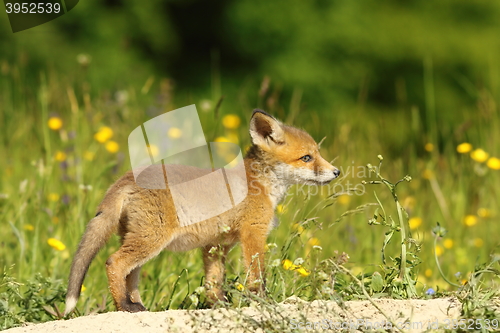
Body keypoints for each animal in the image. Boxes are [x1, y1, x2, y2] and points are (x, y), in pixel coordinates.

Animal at [64, 108, 340, 314]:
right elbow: (256, 277)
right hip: (151, 240)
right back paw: (124, 306)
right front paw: (263, 303)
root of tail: (126, 177)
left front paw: (220, 308)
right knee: (114, 262)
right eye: (306, 158)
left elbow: (213, 285)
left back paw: (136, 305)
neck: (260, 184)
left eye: (317, 153)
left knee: (129, 274)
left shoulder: (215, 245)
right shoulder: (253, 234)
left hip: (139, 240)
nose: (337, 172)